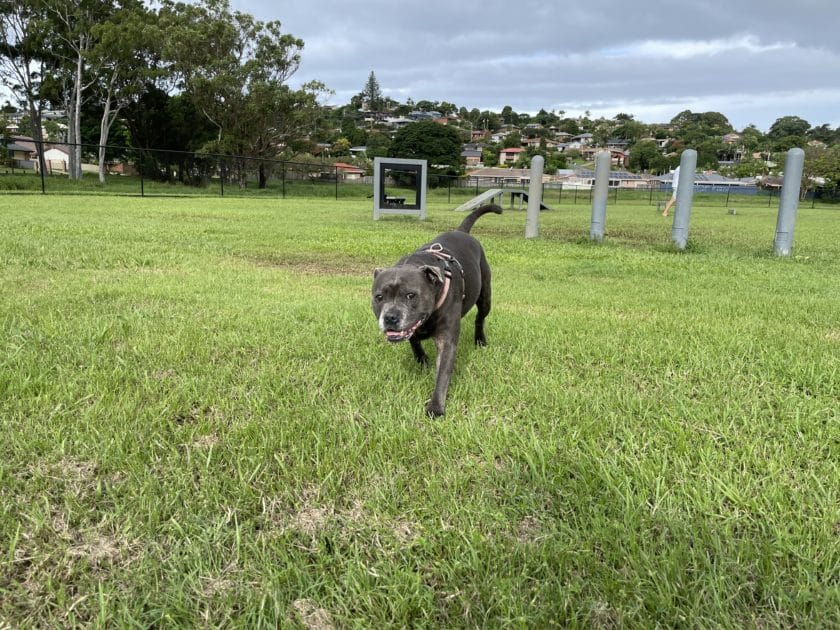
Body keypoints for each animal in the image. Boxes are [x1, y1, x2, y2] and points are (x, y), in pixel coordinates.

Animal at [372, 205, 502, 418]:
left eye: (411, 295)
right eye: (379, 297)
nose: (390, 317)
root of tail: (461, 231)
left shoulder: (446, 341)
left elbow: (442, 375)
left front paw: (435, 407)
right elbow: (414, 340)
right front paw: (421, 360)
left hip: (485, 297)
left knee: (480, 318)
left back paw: (480, 340)